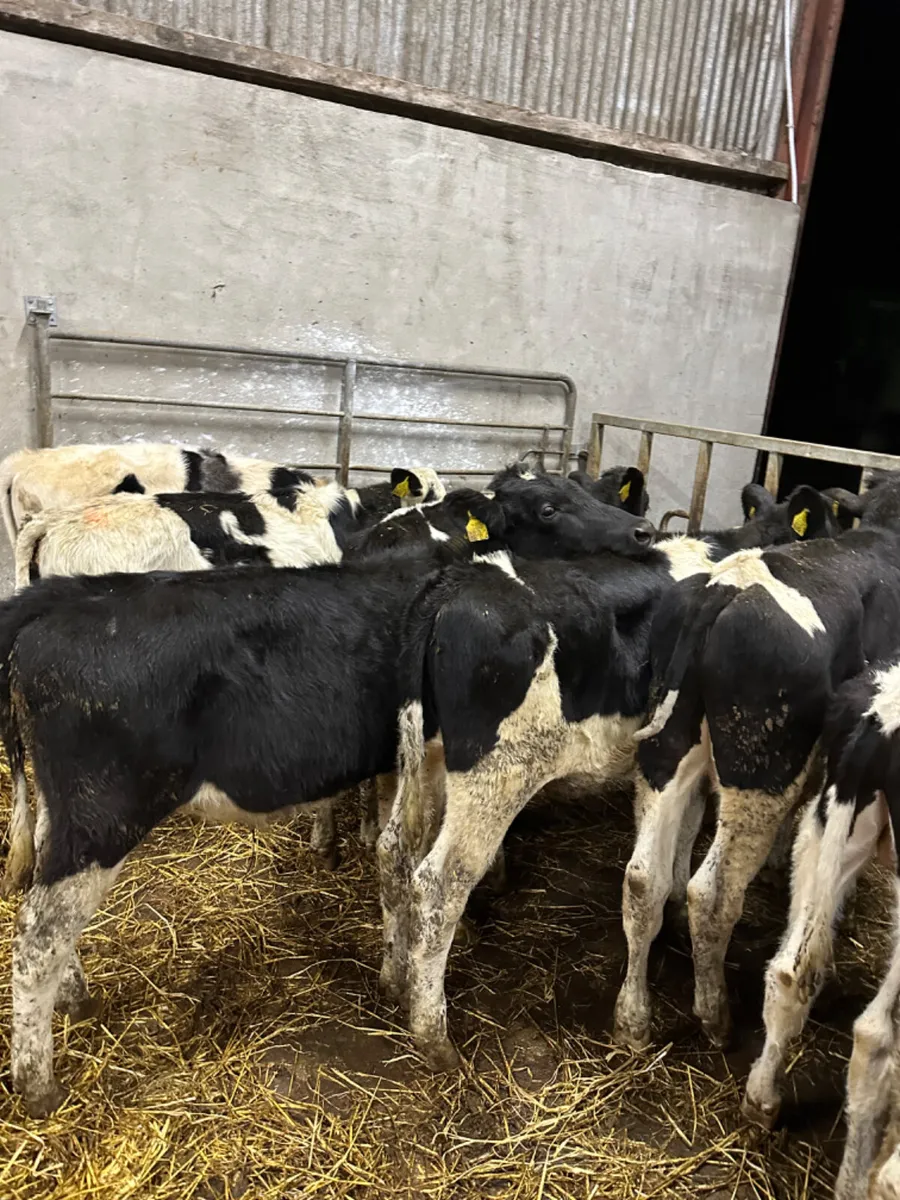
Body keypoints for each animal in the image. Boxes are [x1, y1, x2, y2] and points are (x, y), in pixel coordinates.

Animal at [0, 461, 658, 1116]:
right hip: (102, 816)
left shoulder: (405, 759)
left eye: (595, 489)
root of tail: (54, 602)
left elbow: (394, 852)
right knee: (37, 940)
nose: (643, 533)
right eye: (548, 508)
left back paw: (75, 998)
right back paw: (39, 1086)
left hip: (60, 813)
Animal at [374, 485, 839, 1071]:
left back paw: (394, 977)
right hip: (495, 773)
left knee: (393, 848)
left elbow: (679, 838)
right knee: (439, 881)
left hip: (424, 754)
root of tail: (456, 584)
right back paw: (433, 1034)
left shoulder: (675, 758)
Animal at [612, 470, 900, 1063]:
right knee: (713, 893)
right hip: (761, 770)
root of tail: (724, 587)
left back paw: (633, 1019)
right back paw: (715, 1015)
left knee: (641, 878)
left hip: (668, 744)